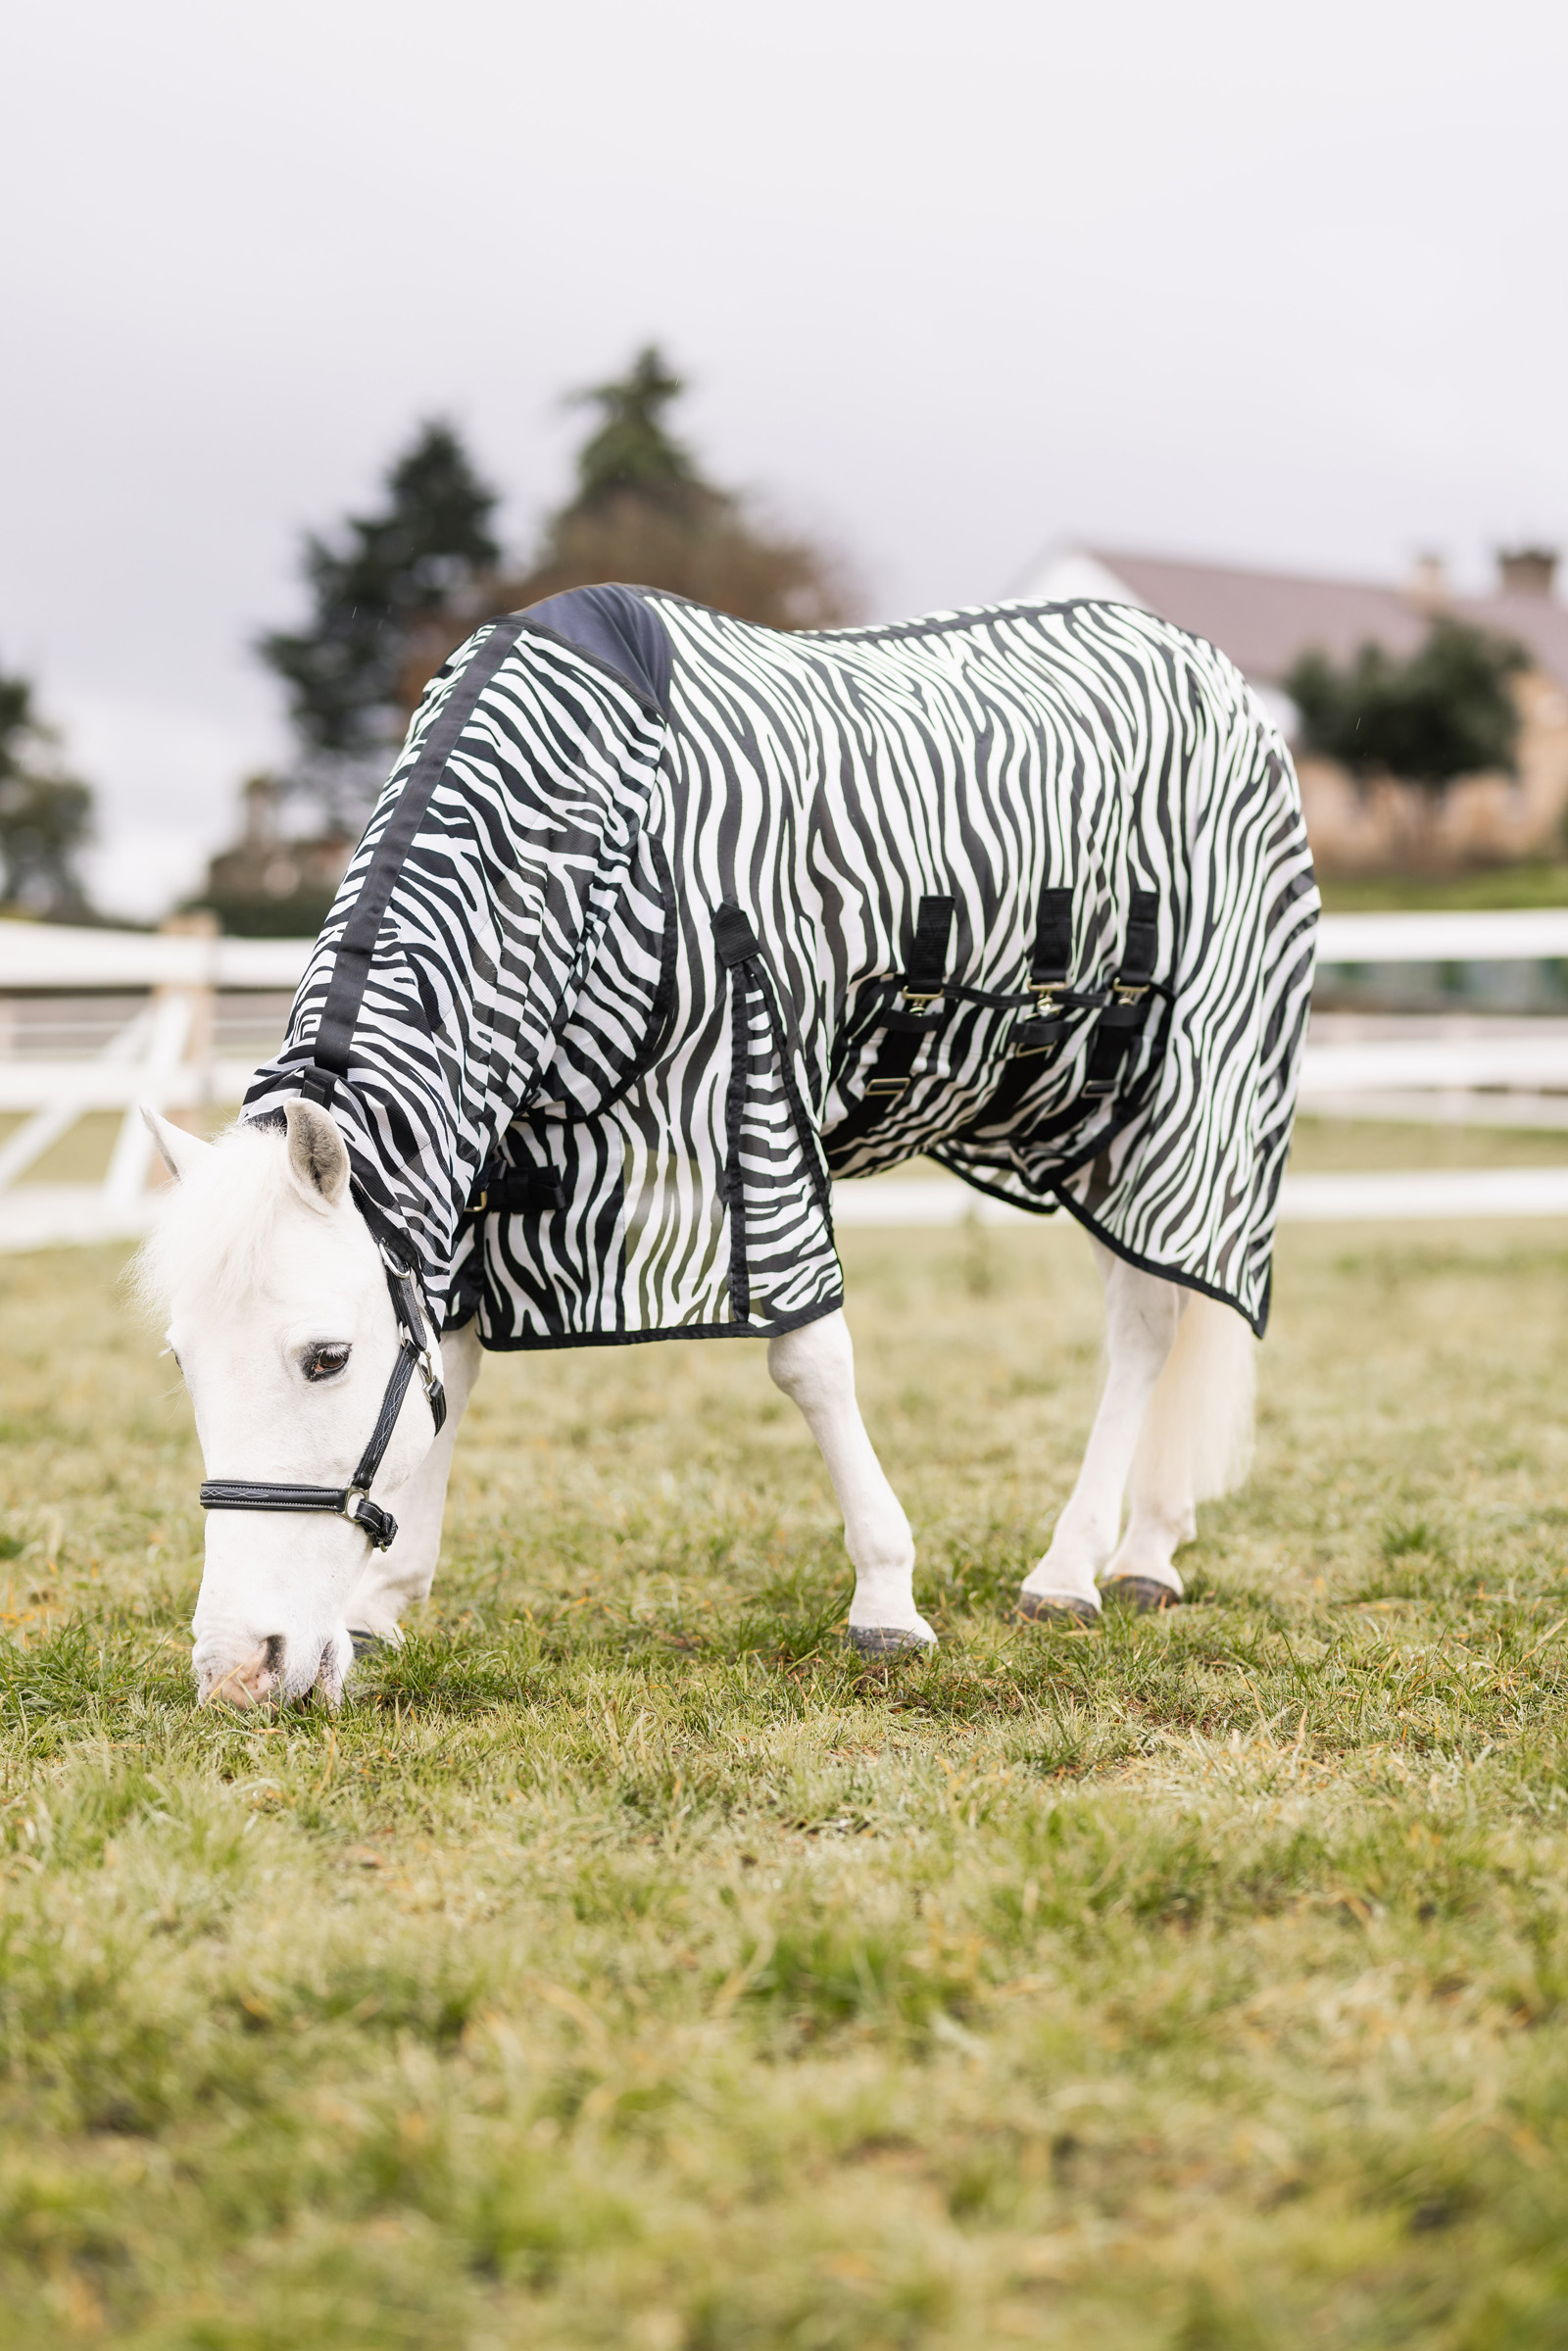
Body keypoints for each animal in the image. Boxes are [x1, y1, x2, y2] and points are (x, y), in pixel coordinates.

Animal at [135, 586, 1317, 1706]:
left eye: (325, 1357)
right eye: (183, 1363)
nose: (241, 1672)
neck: (597, 832)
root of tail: (1210, 672)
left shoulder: (758, 1108)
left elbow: (809, 1359)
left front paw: (886, 1599)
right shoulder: (487, 1173)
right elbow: (450, 1366)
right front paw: (384, 1600)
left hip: (1188, 1105)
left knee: (1153, 1320)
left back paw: (1074, 1570)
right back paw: (1147, 1547)